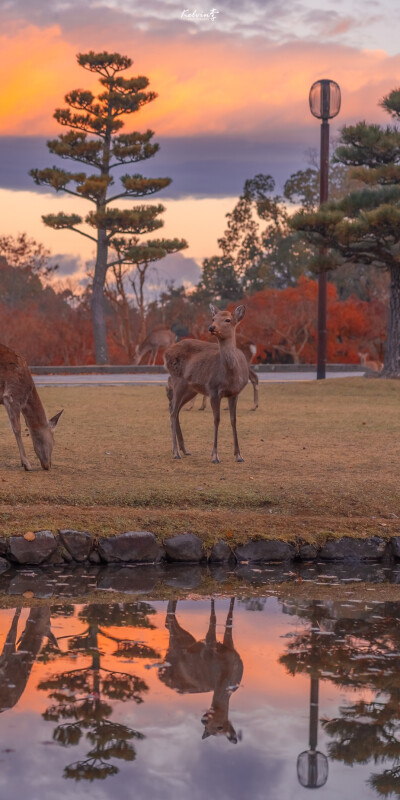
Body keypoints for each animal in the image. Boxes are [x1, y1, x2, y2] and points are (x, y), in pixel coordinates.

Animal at [159, 600, 244, 744]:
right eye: (207, 729)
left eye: (220, 727)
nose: (203, 720)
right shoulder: (211, 644)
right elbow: (213, 619)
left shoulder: (228, 646)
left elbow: (228, 618)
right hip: (180, 643)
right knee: (170, 622)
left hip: (186, 640)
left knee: (169, 621)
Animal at [164, 304, 248, 462]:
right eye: (213, 318)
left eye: (228, 319)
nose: (211, 327)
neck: (230, 375)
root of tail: (165, 353)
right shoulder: (213, 390)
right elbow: (217, 419)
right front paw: (215, 456)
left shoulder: (235, 393)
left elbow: (233, 420)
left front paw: (239, 455)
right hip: (178, 380)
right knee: (172, 411)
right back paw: (176, 452)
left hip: (191, 389)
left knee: (176, 410)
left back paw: (184, 449)